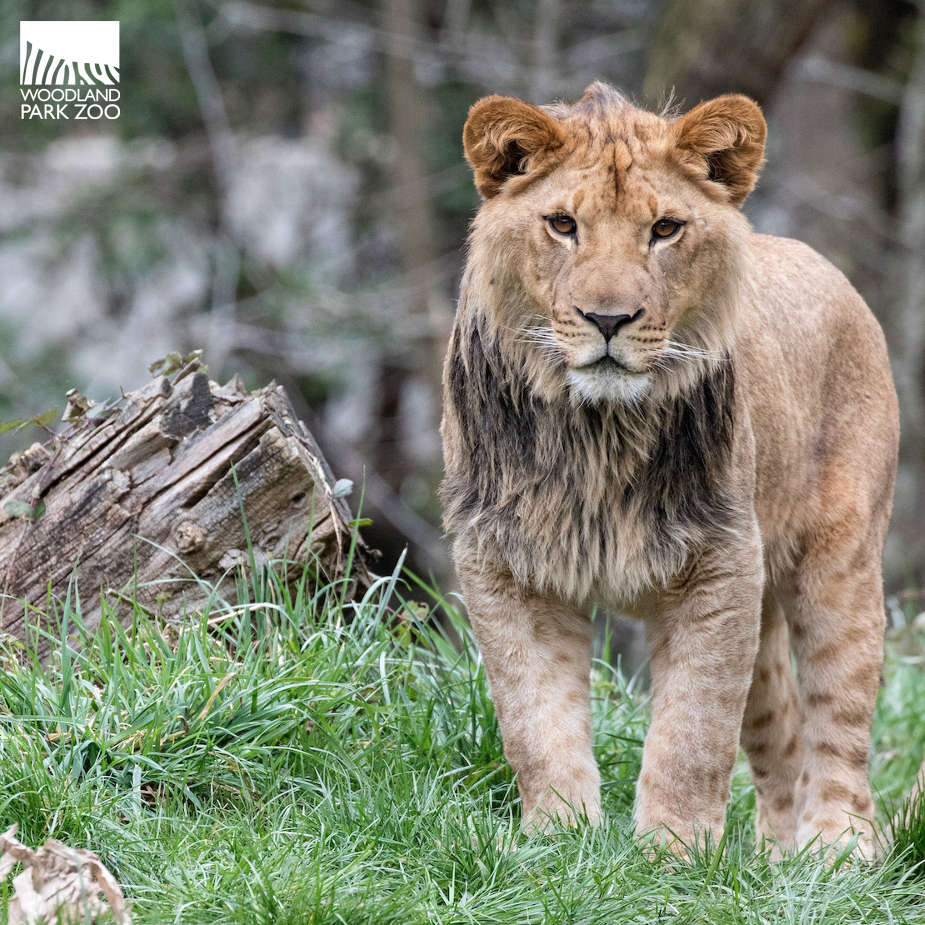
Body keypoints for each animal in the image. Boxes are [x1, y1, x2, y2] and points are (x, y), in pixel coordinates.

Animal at [440, 82, 899, 857]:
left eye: (664, 229)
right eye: (562, 224)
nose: (607, 319)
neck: (595, 433)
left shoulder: (720, 563)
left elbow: (693, 729)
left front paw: (673, 855)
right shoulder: (502, 559)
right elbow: (535, 721)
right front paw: (555, 844)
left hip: (838, 562)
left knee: (839, 718)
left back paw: (835, 852)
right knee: (779, 731)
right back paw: (776, 861)